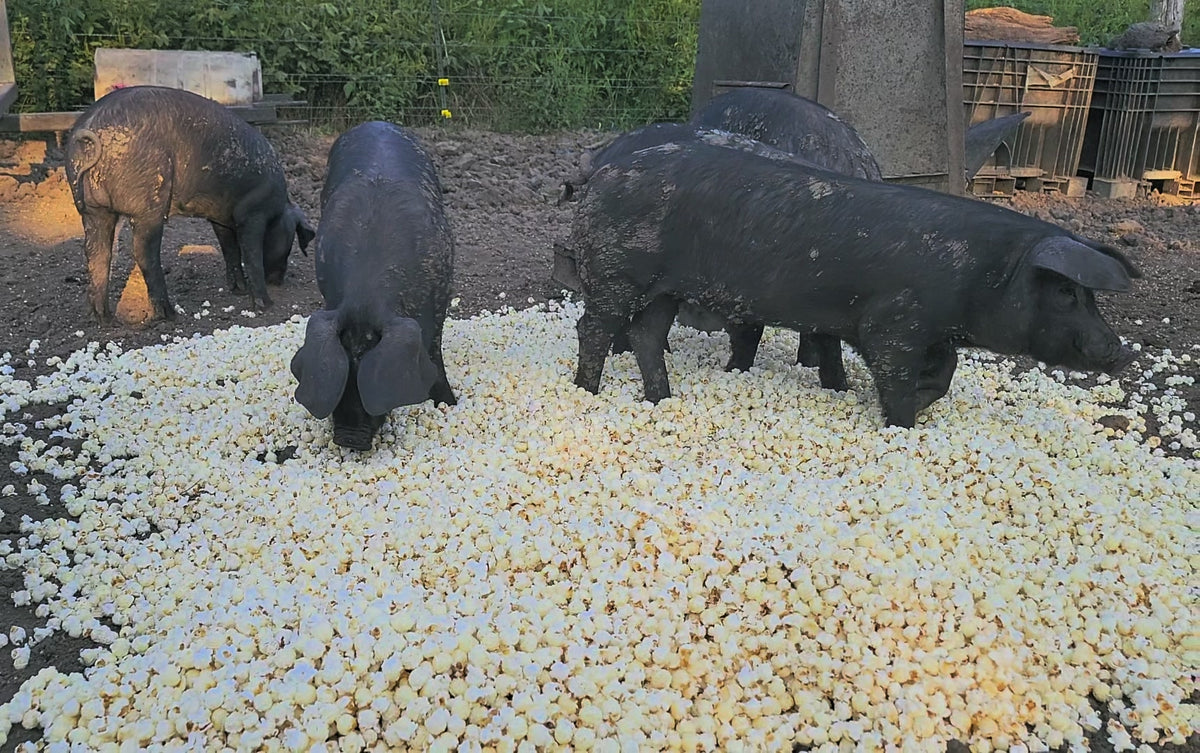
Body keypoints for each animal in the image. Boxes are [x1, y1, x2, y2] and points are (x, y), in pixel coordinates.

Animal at [64, 86, 315, 322]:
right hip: (148, 200)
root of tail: (91, 127)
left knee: (97, 255)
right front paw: (266, 305)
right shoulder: (252, 214)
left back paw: (104, 319)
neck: (278, 207)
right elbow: (250, 255)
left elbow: (230, 250)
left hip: (92, 211)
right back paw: (170, 315)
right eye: (291, 240)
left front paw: (239, 291)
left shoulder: (220, 218)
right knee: (143, 253)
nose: (278, 282)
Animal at [289, 121, 457, 450]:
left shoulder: (441, 292)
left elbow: (435, 351)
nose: (349, 438)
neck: (365, 298)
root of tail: (376, 122)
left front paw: (449, 403)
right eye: (343, 374)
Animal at [570, 141, 1138, 428]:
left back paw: (662, 400)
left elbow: (946, 369)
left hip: (664, 287)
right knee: (593, 328)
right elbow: (895, 373)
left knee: (645, 334)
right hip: (618, 271)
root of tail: (602, 171)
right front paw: (902, 423)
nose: (1119, 350)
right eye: (1066, 293)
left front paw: (906, 399)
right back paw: (586, 392)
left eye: (1090, 296)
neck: (983, 276)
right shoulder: (893, 322)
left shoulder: (924, 329)